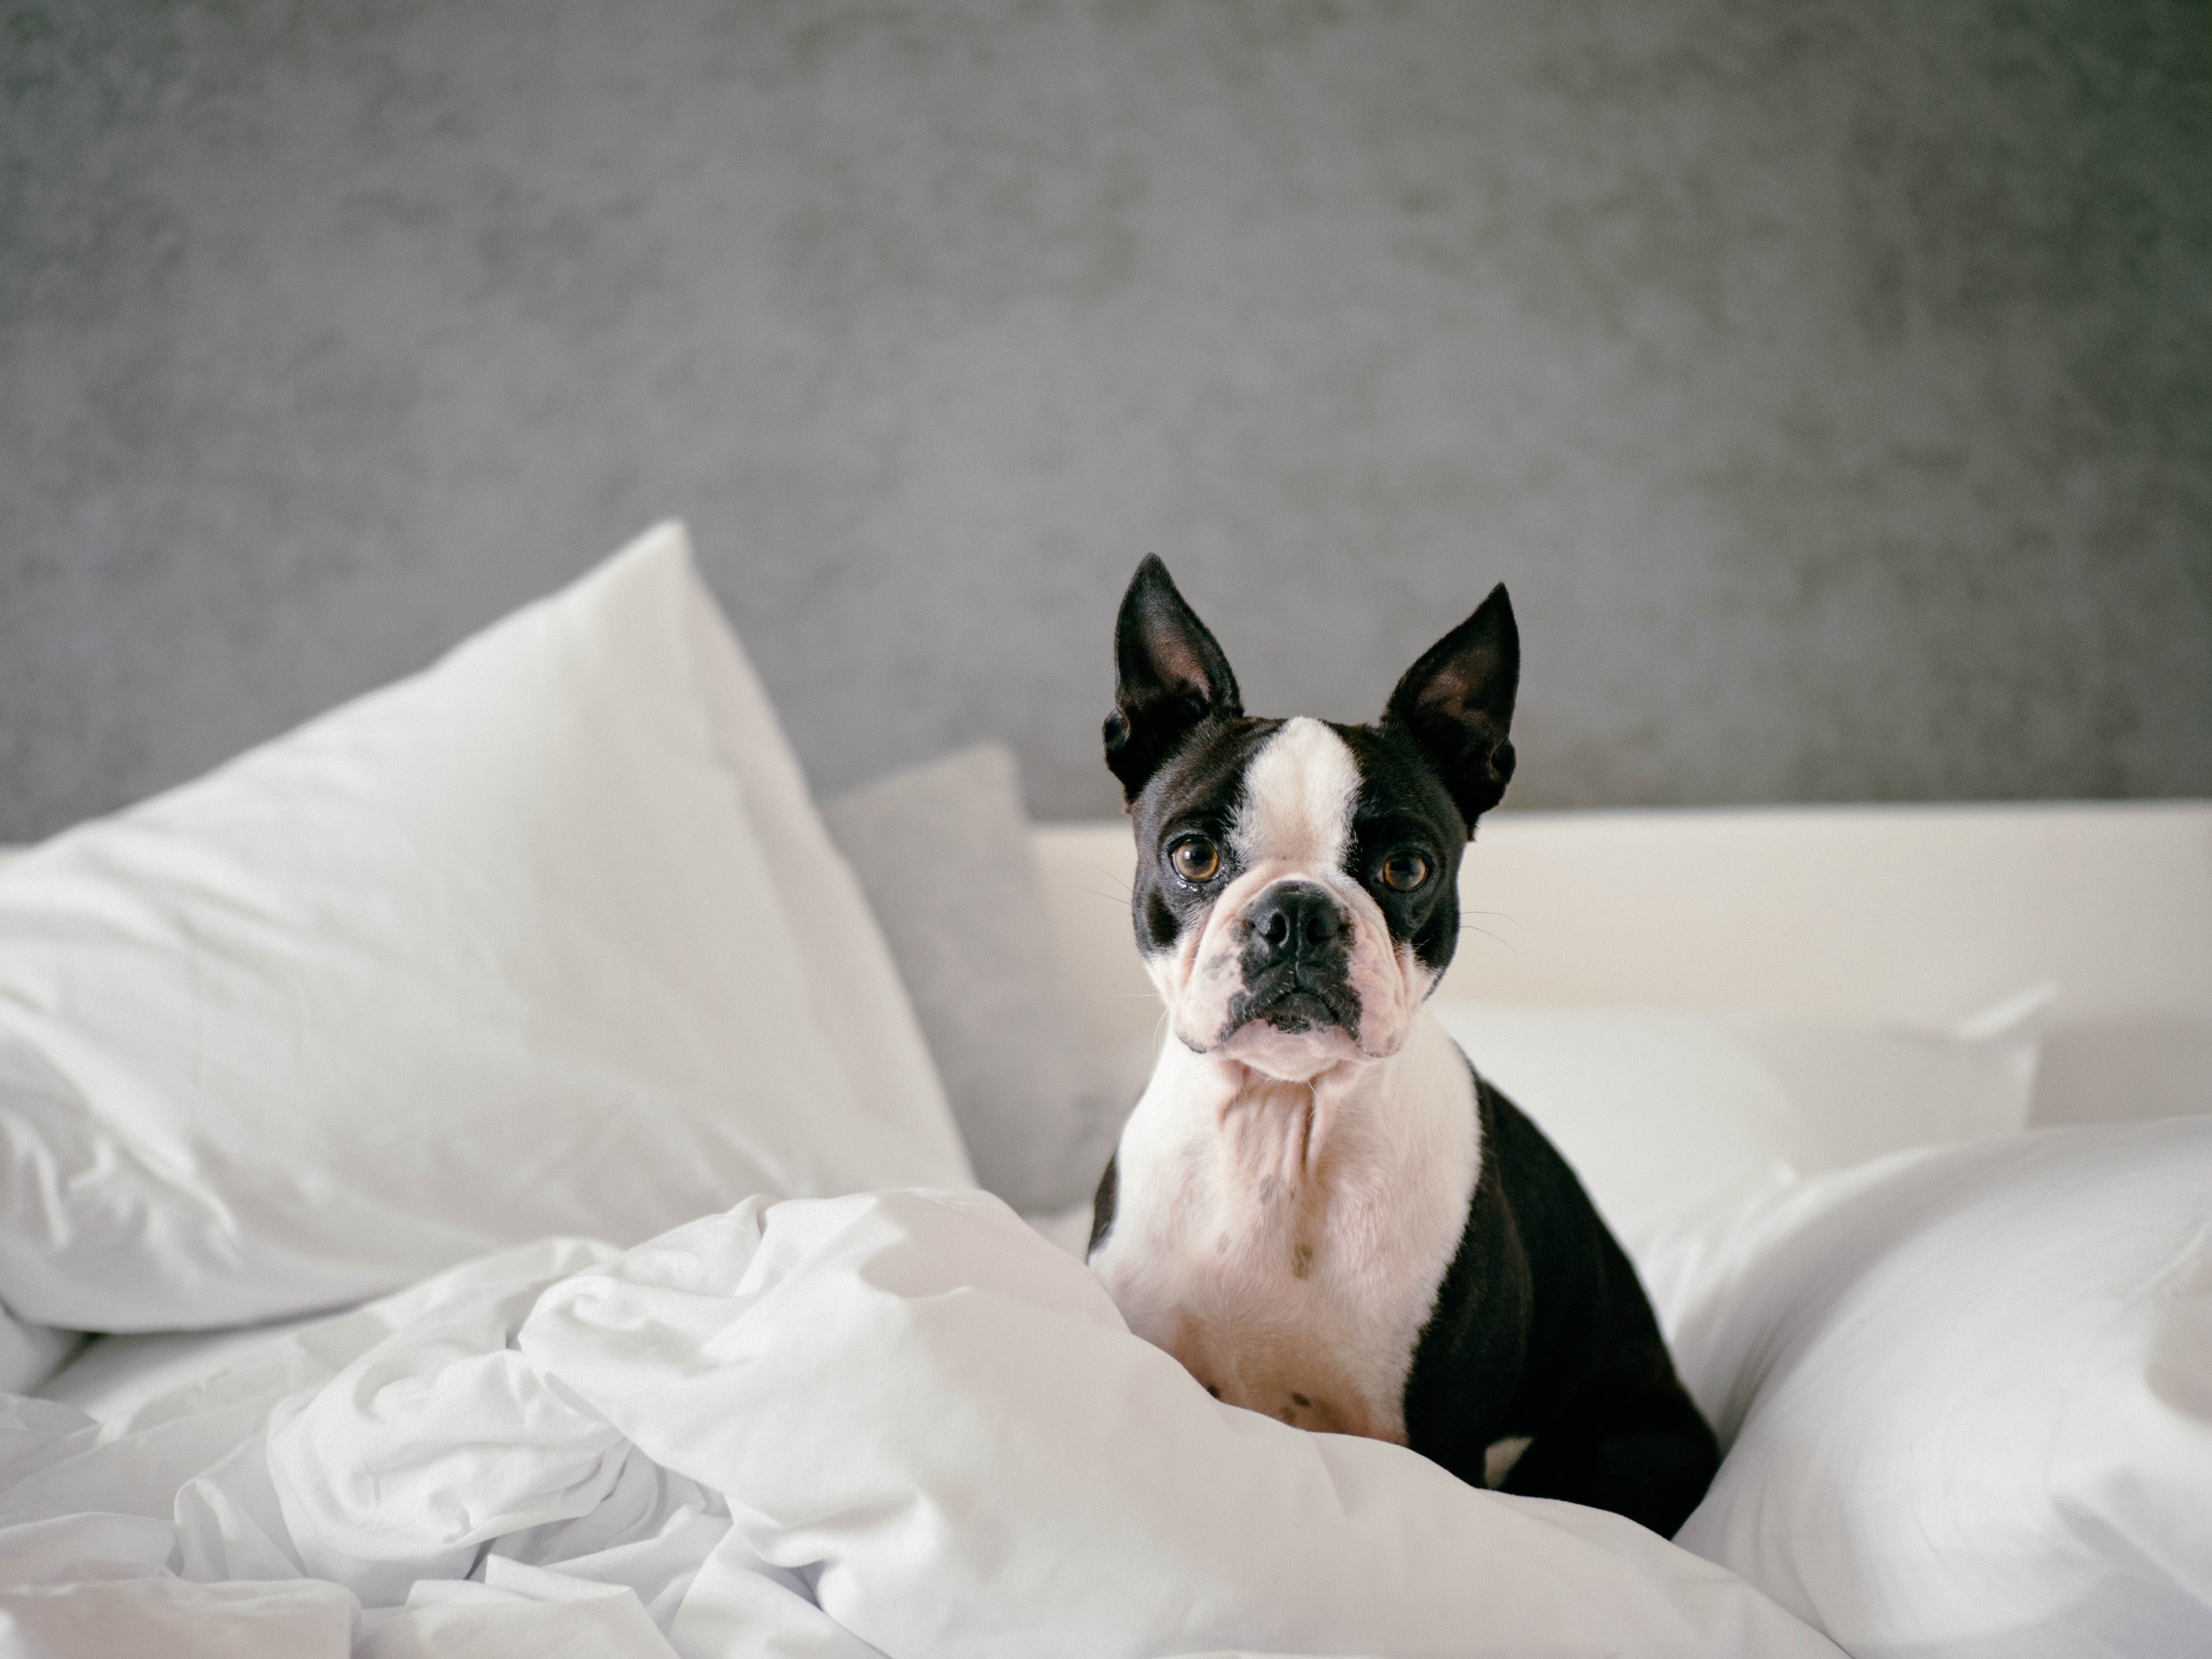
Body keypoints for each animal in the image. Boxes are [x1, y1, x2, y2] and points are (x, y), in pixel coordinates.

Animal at [1079, 559, 1716, 1548]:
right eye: (1192, 857)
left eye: (1407, 870)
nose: (1296, 913)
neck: (1282, 1115)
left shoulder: (1440, 1445)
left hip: (1613, 1450)